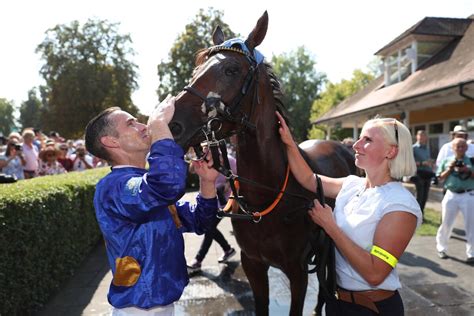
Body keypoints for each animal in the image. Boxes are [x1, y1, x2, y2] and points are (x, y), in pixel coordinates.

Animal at [170, 11, 356, 314]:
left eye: (231, 70)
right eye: (197, 71)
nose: (173, 124)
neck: (266, 195)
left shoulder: (297, 271)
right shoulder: (253, 264)